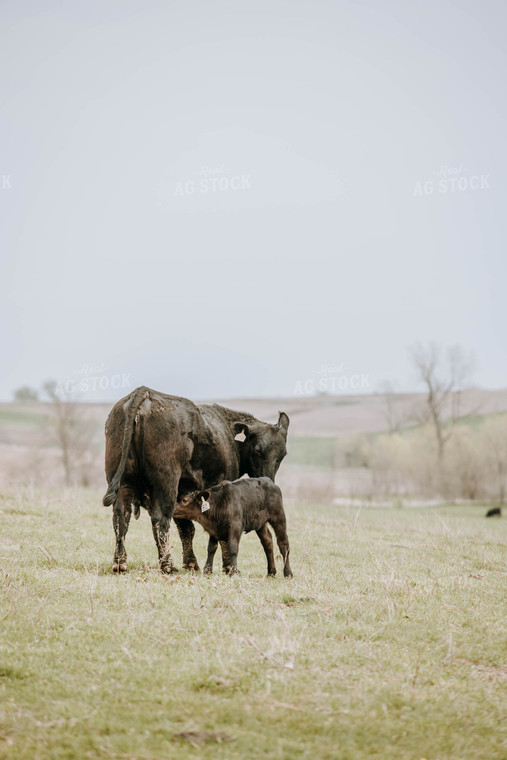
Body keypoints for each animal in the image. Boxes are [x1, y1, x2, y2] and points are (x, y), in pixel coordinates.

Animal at [102, 388, 290, 572]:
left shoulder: (184, 493)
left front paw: (191, 563)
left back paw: (120, 563)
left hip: (123, 482)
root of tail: (144, 393)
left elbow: (186, 528)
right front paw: (227, 566)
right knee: (160, 518)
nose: (267, 479)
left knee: (121, 516)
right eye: (258, 450)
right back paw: (167, 565)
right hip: (166, 482)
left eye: (283, 455)